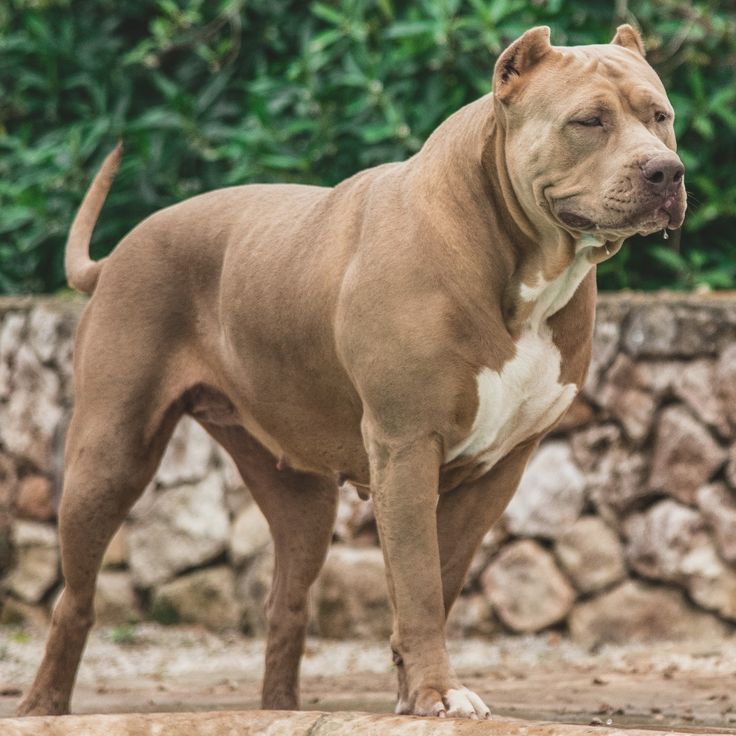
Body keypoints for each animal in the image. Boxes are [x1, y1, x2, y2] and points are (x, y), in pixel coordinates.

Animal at [15, 24, 684, 720]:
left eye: (660, 117)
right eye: (588, 121)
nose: (667, 170)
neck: (518, 262)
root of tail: (119, 252)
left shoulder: (497, 469)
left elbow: (438, 580)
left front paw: (415, 694)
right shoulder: (406, 447)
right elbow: (418, 584)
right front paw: (437, 692)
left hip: (300, 498)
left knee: (285, 603)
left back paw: (281, 710)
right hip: (109, 456)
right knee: (75, 599)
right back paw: (43, 706)